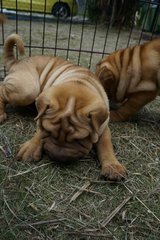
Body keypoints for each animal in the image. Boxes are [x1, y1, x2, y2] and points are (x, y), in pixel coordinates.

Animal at [0, 33, 126, 180]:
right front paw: (31, 148)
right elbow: (39, 131)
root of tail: (17, 62)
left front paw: (113, 167)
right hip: (27, 89)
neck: (80, 82)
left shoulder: (103, 127)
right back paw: (1, 113)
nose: (58, 157)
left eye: (79, 139)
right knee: (2, 89)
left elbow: (106, 145)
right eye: (50, 132)